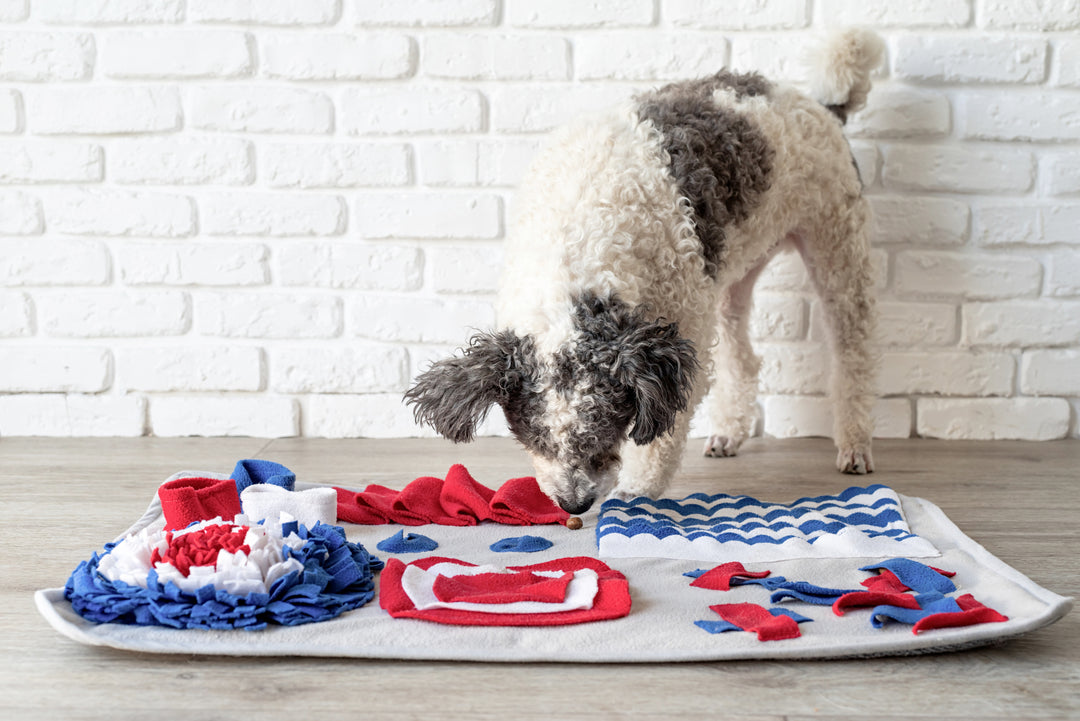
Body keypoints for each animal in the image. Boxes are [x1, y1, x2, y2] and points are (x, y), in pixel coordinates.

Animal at [406, 28, 885, 511]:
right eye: (534, 438)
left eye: (604, 435)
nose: (574, 504)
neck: (580, 240)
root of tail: (822, 106)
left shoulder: (679, 339)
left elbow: (662, 432)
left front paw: (637, 490)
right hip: (733, 272)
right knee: (744, 358)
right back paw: (730, 432)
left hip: (837, 246)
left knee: (855, 352)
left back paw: (855, 444)